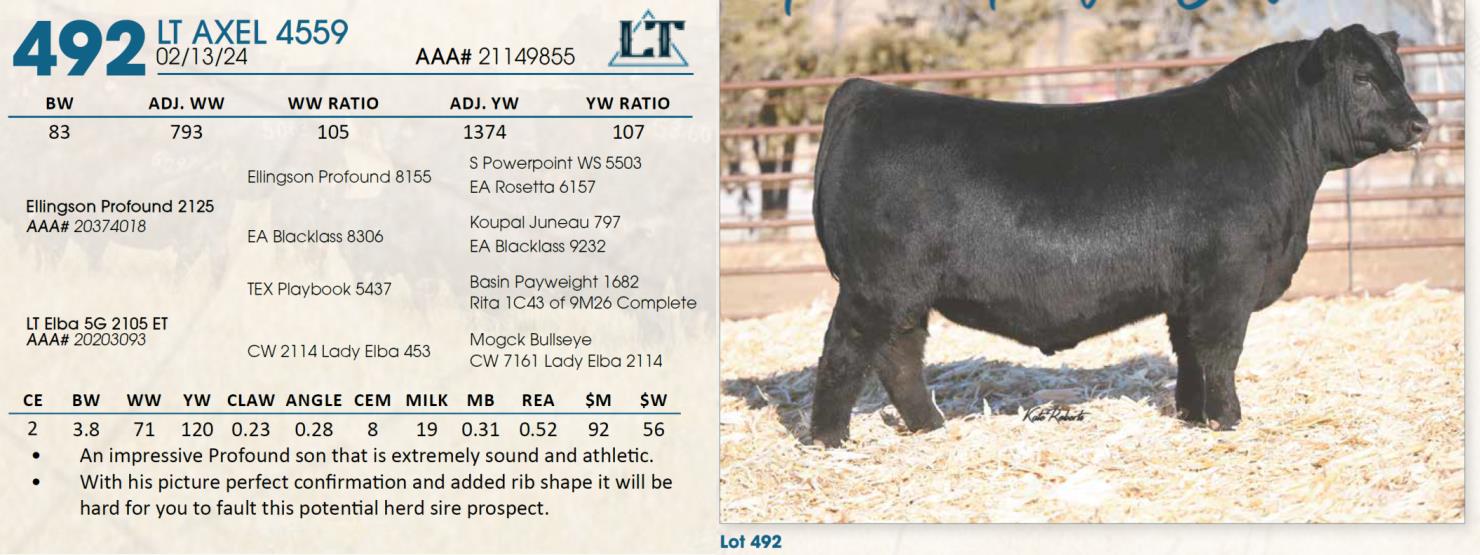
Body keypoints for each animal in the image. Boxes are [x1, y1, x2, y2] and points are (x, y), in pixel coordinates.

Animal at [808, 25, 1430, 447]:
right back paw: (829, 440)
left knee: (899, 356)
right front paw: (1228, 420)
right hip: (875, 285)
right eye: (1363, 78)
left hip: (905, 293)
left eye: (1398, 73)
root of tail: (865, 92)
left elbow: (1189, 352)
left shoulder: (1188, 290)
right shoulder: (1230, 278)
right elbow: (1221, 350)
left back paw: (930, 426)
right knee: (844, 351)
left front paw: (1191, 414)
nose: (1420, 124)